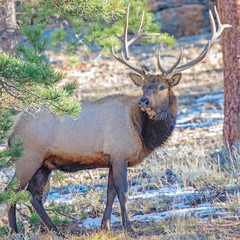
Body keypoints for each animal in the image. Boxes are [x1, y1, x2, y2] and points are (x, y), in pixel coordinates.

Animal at [6, 5, 230, 236]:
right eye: (143, 86)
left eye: (161, 87)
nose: (144, 101)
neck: (142, 133)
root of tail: (13, 129)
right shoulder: (119, 154)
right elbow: (123, 191)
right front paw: (128, 226)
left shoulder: (112, 159)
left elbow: (110, 193)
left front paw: (105, 225)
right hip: (28, 155)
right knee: (12, 190)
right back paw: (14, 229)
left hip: (44, 163)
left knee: (34, 194)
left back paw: (55, 229)